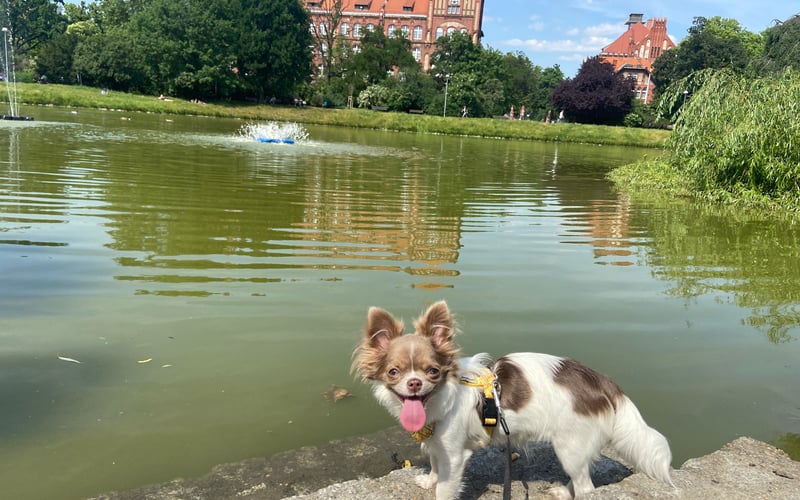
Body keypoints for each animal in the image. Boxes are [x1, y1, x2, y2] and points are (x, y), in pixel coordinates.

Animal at [354, 300, 672, 500]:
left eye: (432, 371)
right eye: (393, 372)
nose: (414, 382)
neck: (439, 398)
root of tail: (603, 382)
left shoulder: (454, 454)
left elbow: (445, 487)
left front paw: (438, 489)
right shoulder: (437, 442)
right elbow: (433, 464)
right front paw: (428, 480)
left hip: (569, 445)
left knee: (586, 488)